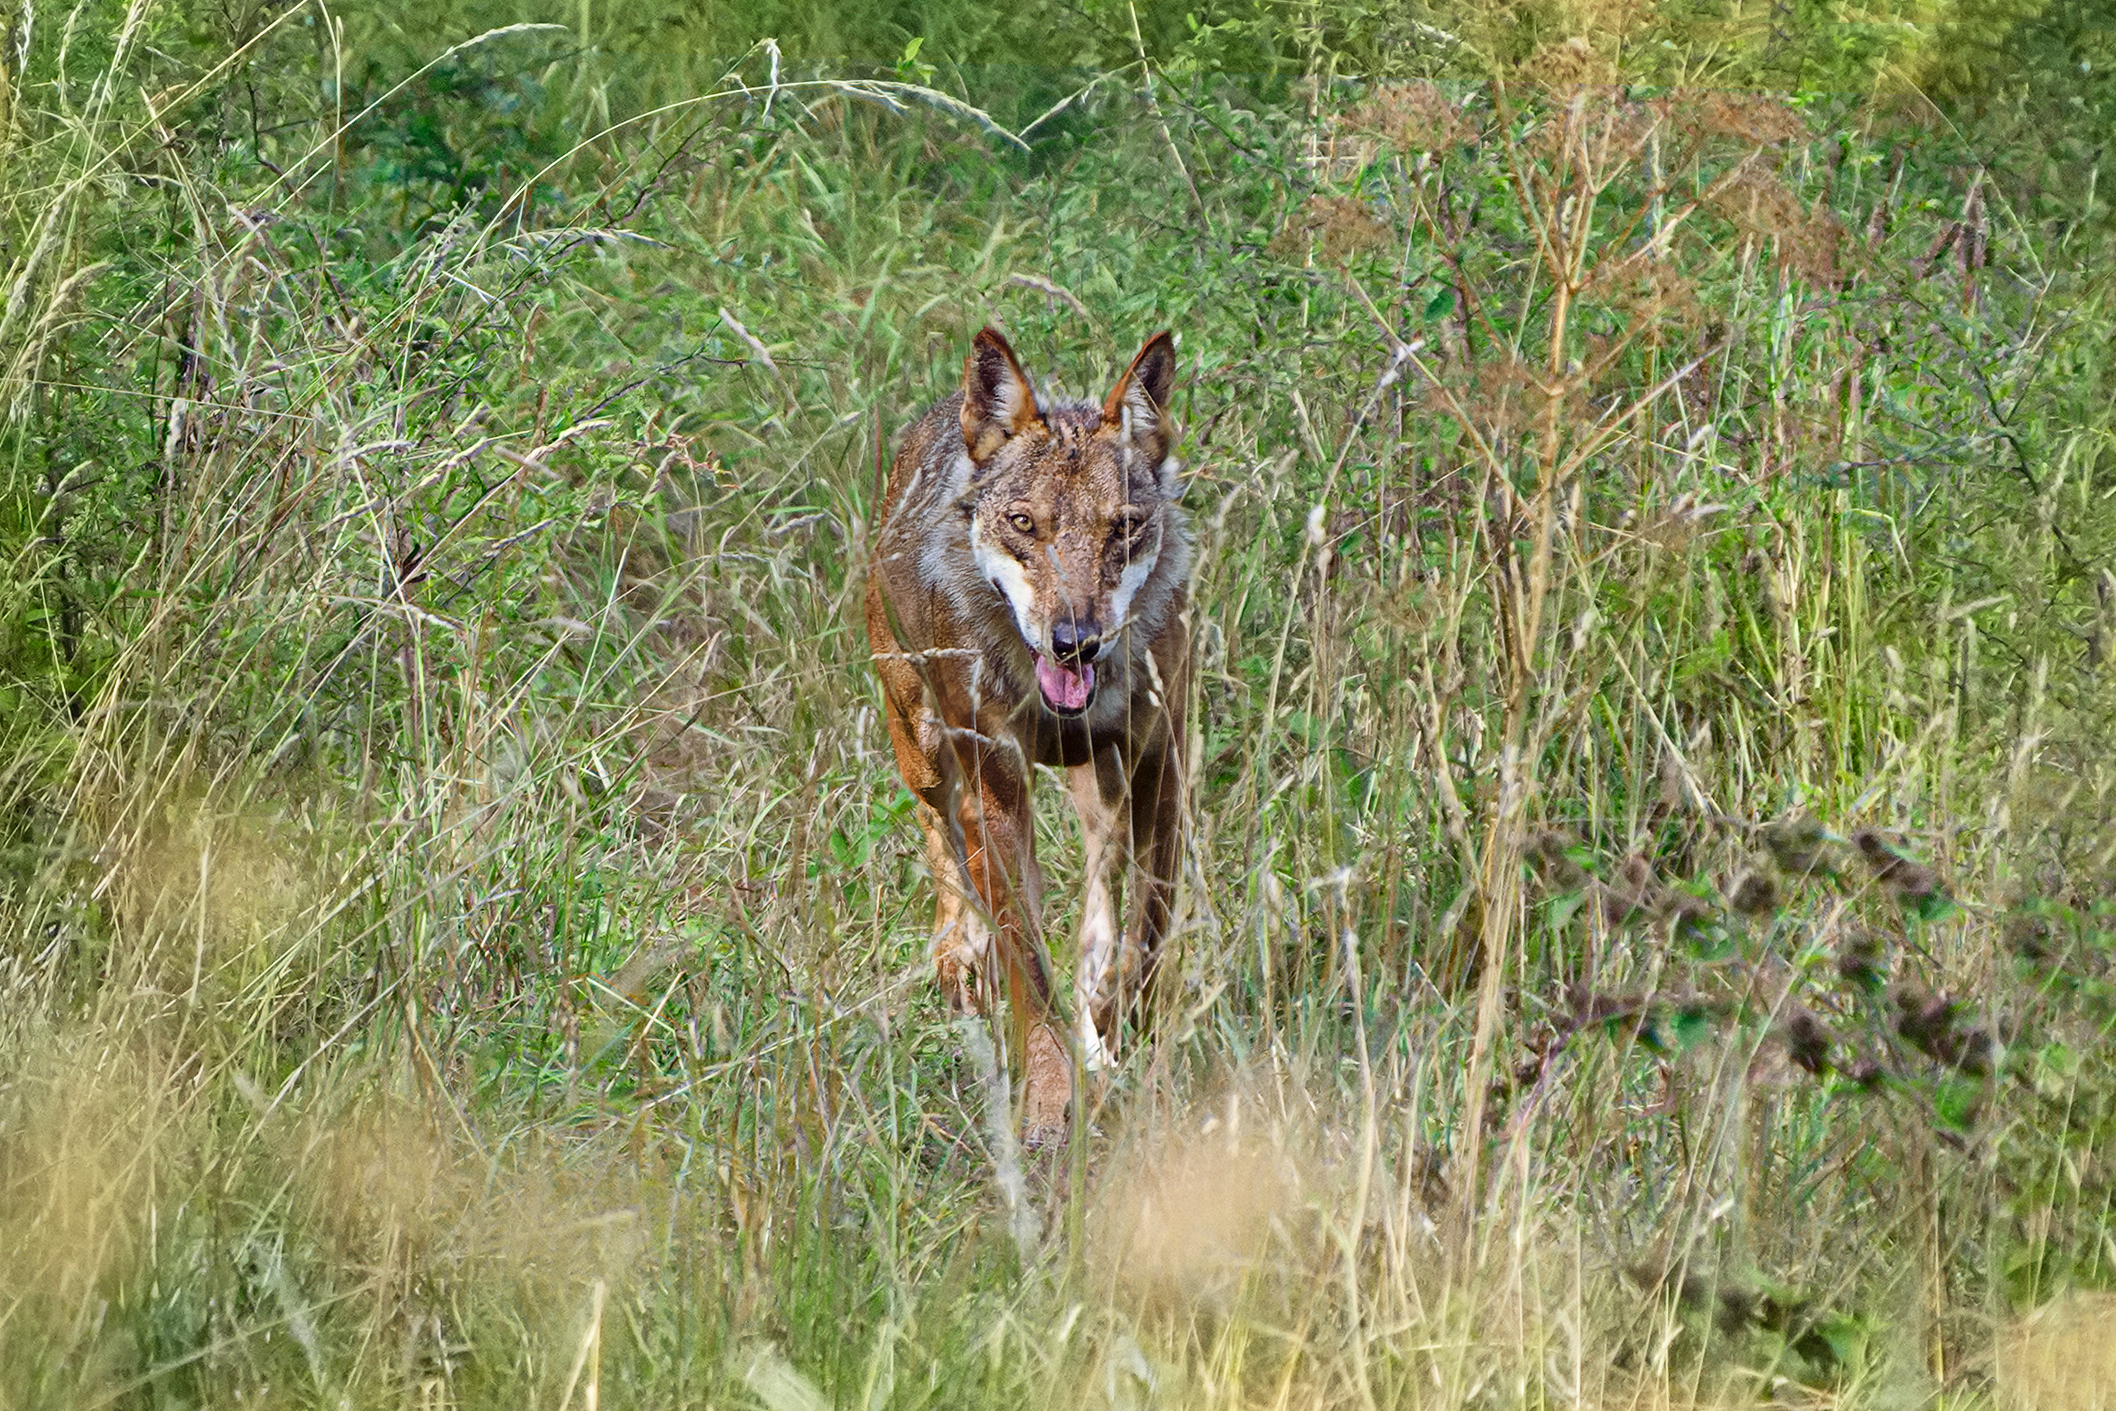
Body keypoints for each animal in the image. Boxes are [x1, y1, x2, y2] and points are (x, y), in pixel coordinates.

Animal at [865, 327, 1191, 1142]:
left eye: (1123, 528)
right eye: (1024, 524)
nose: (1076, 643)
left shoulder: (1160, 762)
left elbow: (1145, 932)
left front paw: (1120, 1036)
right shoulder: (998, 781)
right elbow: (1030, 973)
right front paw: (1049, 1106)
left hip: (1098, 785)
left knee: (1100, 879)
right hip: (924, 745)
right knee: (942, 832)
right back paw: (960, 957)